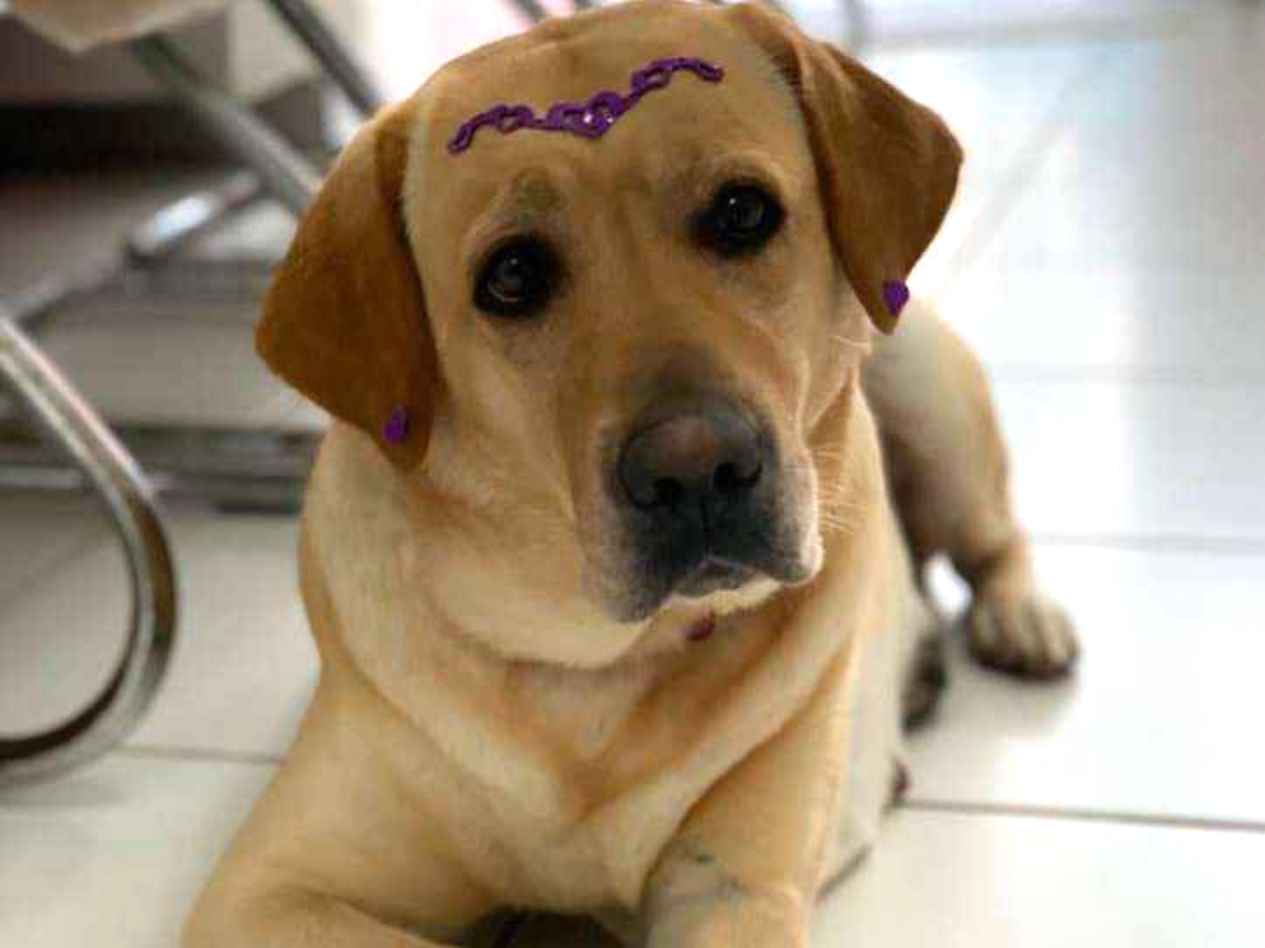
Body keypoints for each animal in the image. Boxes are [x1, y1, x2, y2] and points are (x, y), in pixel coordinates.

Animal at [185, 2, 1077, 945]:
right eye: (512, 274)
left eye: (741, 212)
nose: (696, 469)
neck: (592, 669)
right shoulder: (270, 889)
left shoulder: (734, 889)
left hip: (923, 378)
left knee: (993, 542)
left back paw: (1022, 621)